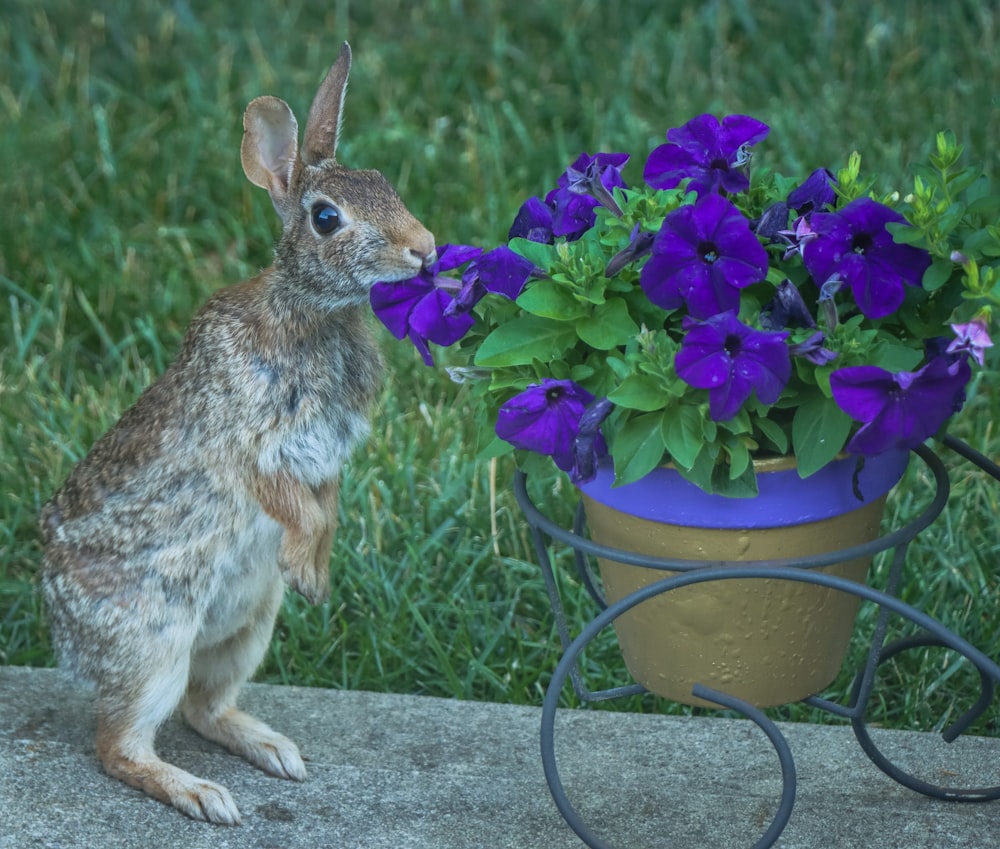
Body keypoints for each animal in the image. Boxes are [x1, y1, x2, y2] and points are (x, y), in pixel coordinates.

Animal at [39, 43, 438, 824]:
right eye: (326, 217)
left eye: (384, 182)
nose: (425, 249)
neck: (310, 312)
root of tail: (64, 636)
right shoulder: (252, 448)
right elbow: (291, 503)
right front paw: (310, 573)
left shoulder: (327, 460)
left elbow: (326, 507)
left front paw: (315, 574)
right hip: (154, 643)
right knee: (119, 745)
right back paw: (203, 795)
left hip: (251, 625)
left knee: (204, 707)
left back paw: (275, 752)